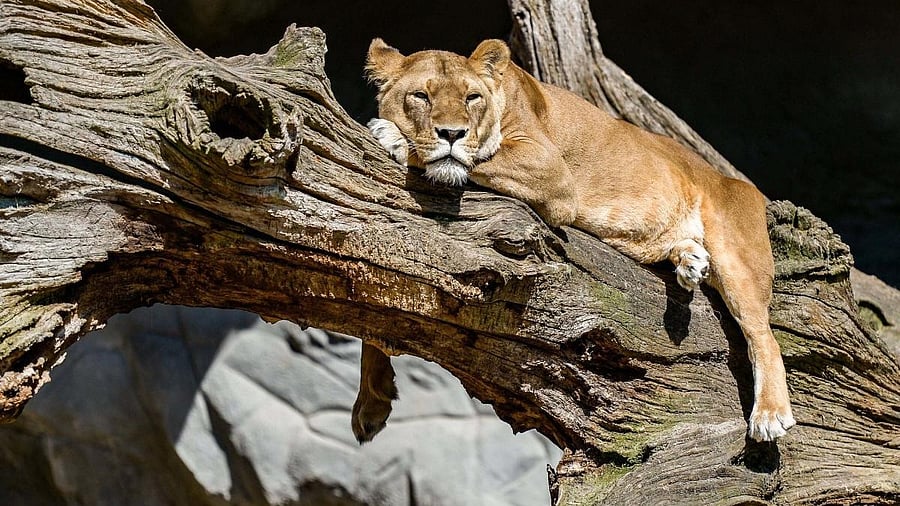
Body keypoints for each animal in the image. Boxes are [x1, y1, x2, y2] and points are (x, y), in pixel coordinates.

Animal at [353, 38, 796, 443]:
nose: (451, 133)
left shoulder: (551, 171)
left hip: (738, 257)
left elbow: (472, 158)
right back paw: (689, 261)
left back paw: (769, 414)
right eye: (421, 96)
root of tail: (743, 185)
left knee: (764, 337)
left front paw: (394, 137)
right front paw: (371, 403)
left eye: (471, 97)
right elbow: (376, 302)